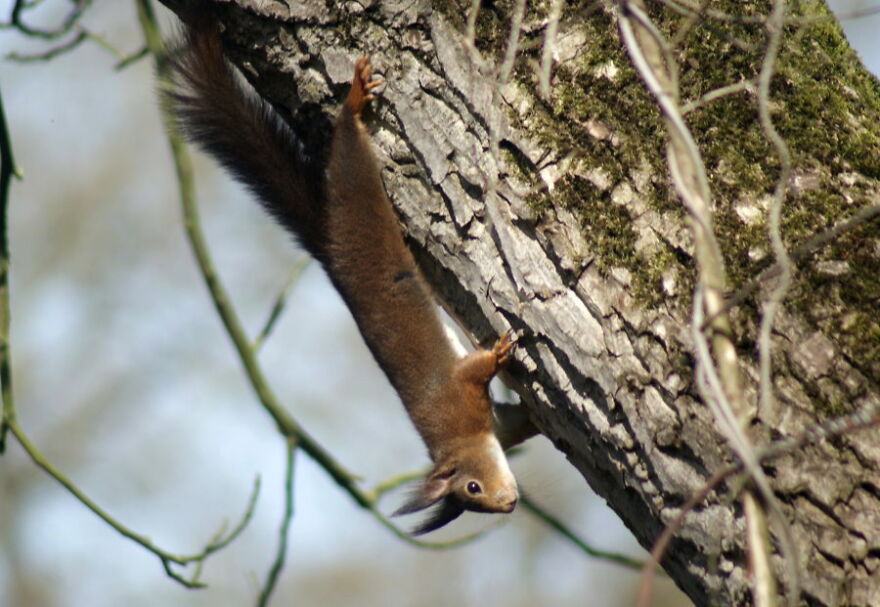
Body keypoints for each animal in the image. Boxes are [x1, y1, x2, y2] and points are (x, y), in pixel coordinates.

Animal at [166, 17, 535, 535]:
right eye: (472, 493)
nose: (507, 504)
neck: (461, 439)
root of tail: (330, 249)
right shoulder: (467, 402)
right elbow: (480, 377)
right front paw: (502, 354)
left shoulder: (478, 410)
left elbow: (498, 399)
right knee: (348, 154)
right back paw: (354, 103)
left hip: (357, 206)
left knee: (346, 157)